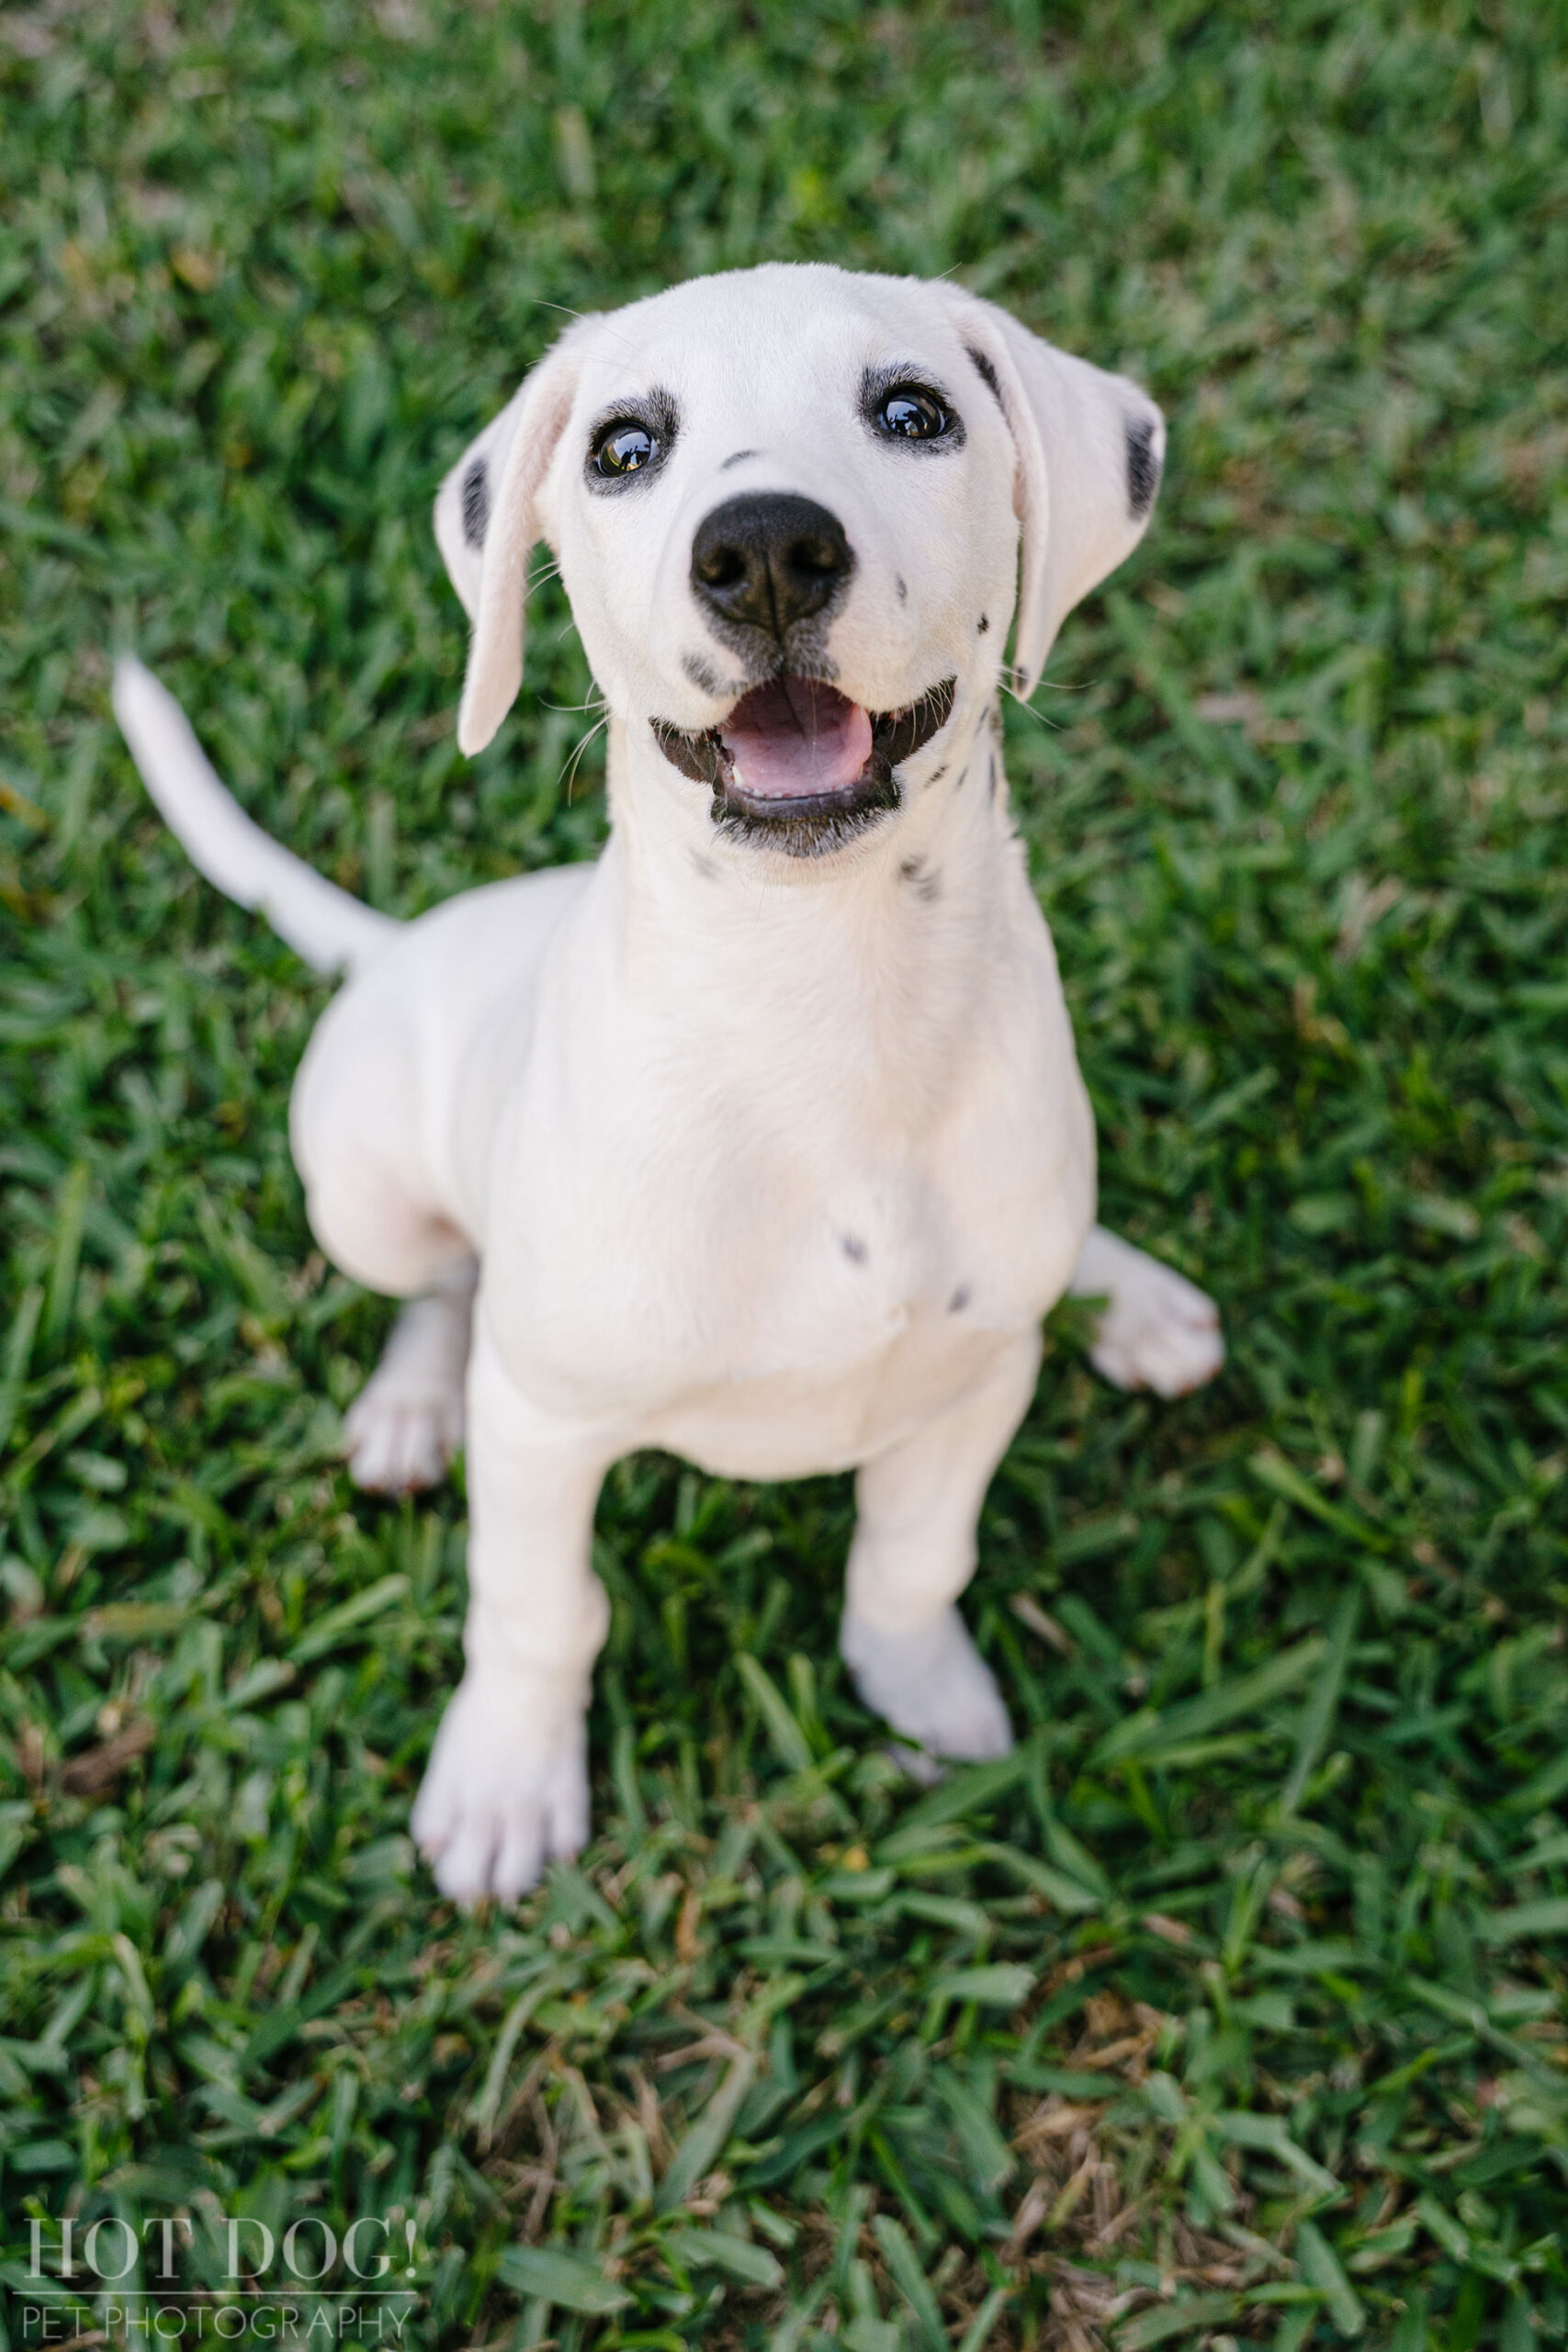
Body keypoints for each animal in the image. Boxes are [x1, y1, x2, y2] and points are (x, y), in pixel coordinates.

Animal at [119, 262, 1222, 1909]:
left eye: (914, 412)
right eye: (625, 448)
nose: (761, 550)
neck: (819, 1004)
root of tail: (403, 947)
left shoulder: (974, 1389)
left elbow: (913, 1557)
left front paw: (922, 1694)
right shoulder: (544, 1426)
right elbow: (535, 1608)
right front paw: (506, 1781)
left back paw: (1133, 1295)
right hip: (360, 1188)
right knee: (439, 1286)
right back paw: (408, 1408)